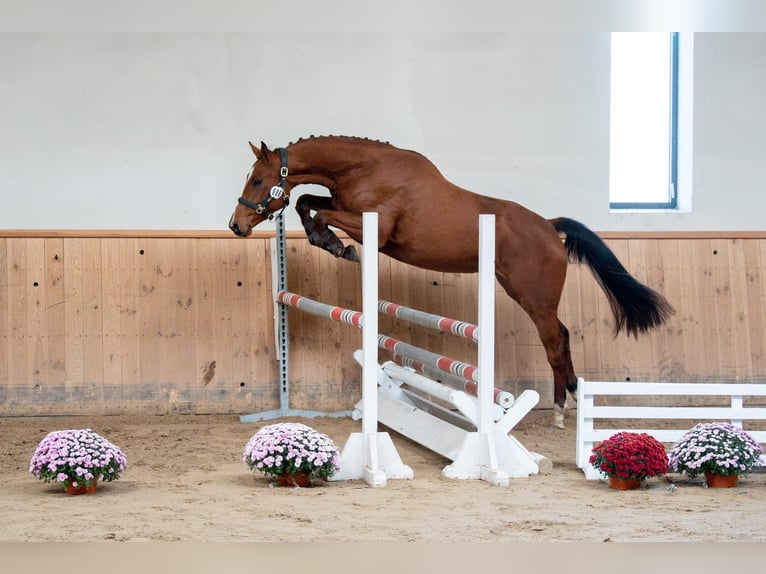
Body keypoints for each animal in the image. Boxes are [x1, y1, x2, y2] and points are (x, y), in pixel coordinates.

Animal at [229, 135, 674, 429]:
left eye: (257, 180)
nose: (236, 226)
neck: (364, 168)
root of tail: (549, 227)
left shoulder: (375, 226)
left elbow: (319, 212)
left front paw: (336, 245)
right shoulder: (340, 204)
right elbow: (307, 202)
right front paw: (331, 243)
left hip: (534, 297)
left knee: (553, 342)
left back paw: (563, 410)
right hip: (524, 292)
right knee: (563, 336)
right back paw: (575, 400)